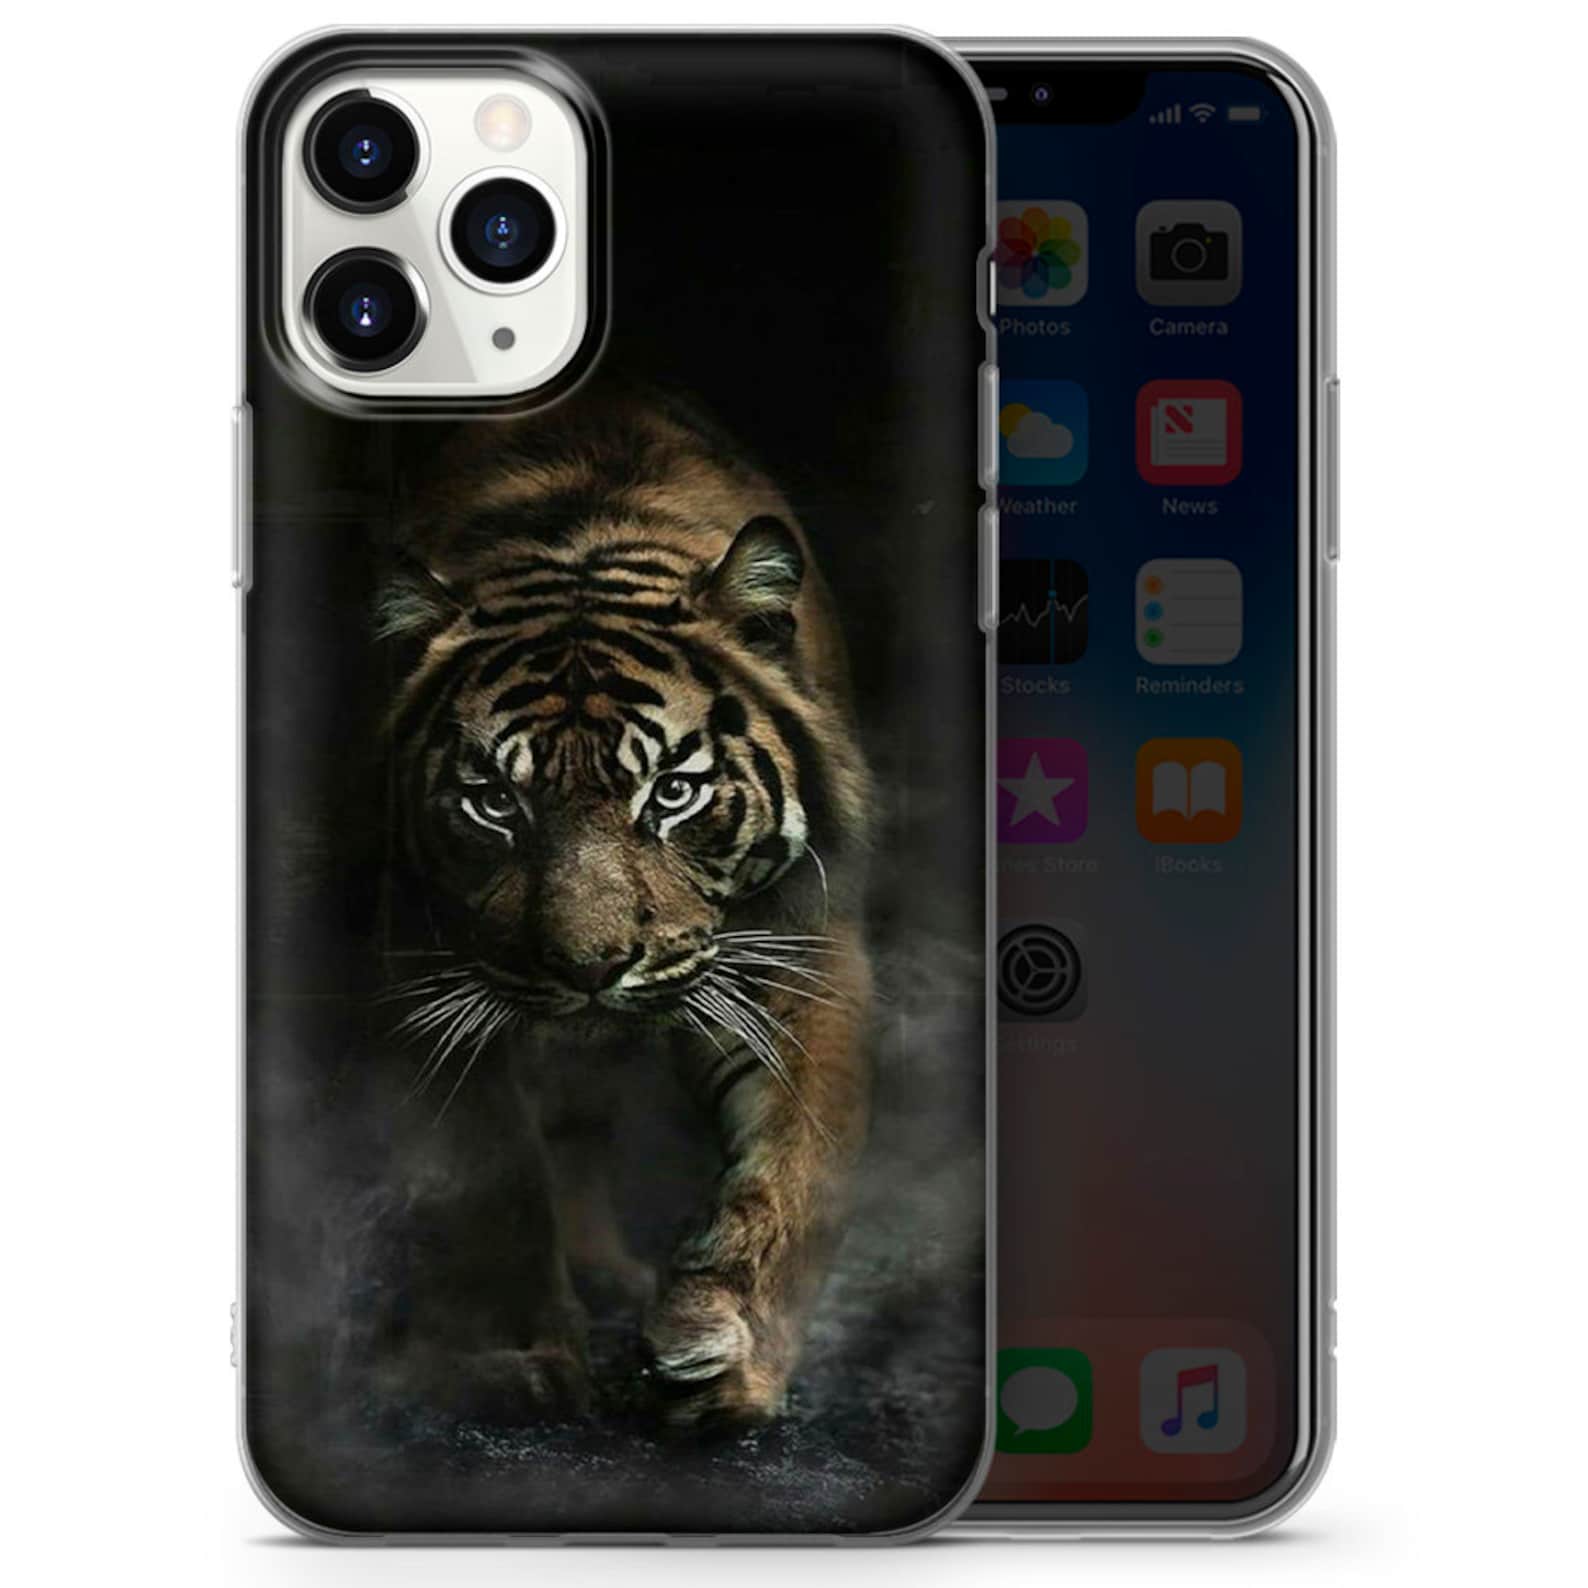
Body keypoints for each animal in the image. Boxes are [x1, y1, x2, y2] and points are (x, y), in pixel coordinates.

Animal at [374, 387, 874, 1430]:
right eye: (495, 802)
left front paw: (727, 1354)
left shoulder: (804, 955)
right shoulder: (430, 983)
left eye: (673, 794)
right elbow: (496, 1180)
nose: (590, 967)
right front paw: (524, 1359)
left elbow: (793, 1167)